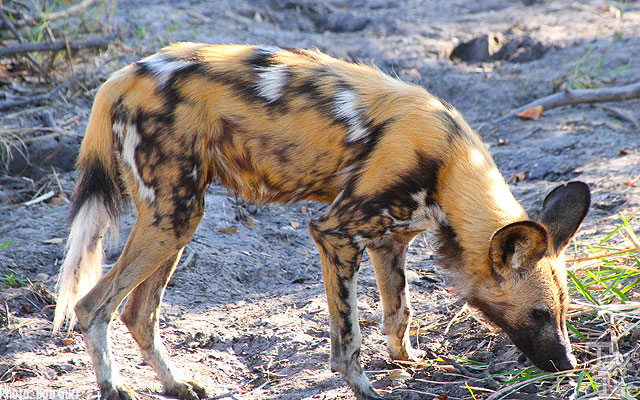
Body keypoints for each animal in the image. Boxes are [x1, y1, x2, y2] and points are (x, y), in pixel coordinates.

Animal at [53, 42, 592, 398]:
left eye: (565, 313)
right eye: (538, 314)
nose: (567, 365)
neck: (448, 164)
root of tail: (121, 76)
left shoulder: (390, 243)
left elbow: (399, 312)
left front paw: (408, 361)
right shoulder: (335, 233)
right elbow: (349, 335)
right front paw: (364, 387)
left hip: (177, 221)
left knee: (137, 313)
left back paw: (178, 384)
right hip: (173, 218)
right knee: (91, 306)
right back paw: (113, 387)